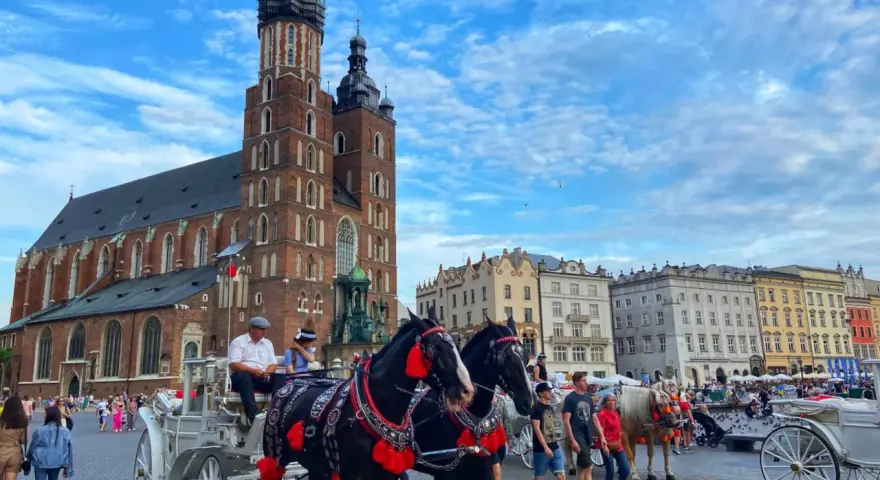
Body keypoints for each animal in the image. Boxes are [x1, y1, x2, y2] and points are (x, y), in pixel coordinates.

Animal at [258, 312, 475, 480]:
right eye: (434, 348)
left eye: (456, 345)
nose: (467, 391)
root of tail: (289, 384)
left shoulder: (389, 473)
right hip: (274, 456)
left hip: (316, 464)